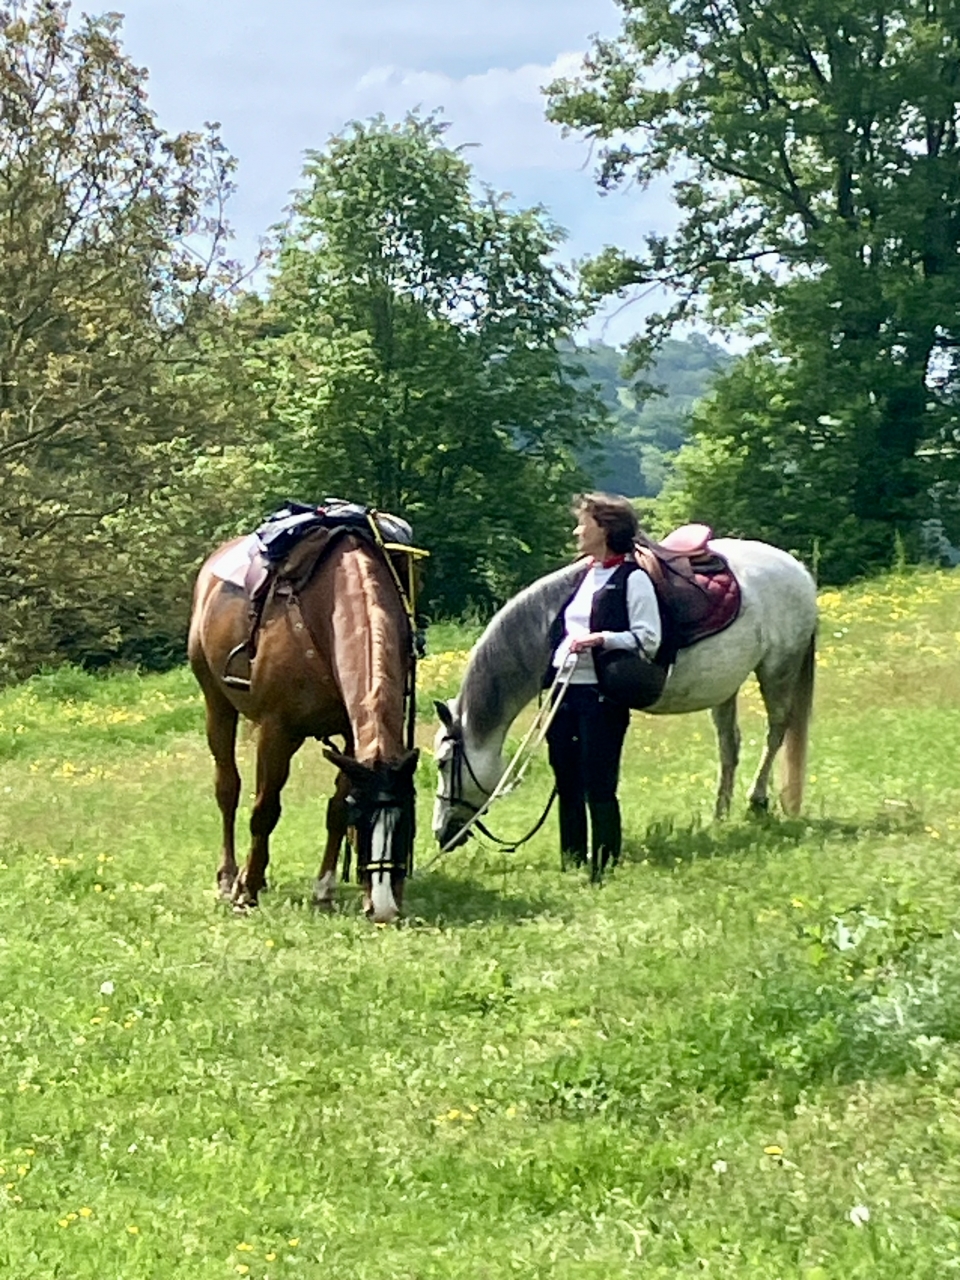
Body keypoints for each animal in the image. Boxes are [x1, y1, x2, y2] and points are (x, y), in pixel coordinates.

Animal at [188, 530, 418, 923]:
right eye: (363, 821)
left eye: (407, 824)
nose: (385, 907)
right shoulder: (277, 731)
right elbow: (265, 810)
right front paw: (246, 893)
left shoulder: (350, 739)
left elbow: (335, 809)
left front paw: (324, 889)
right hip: (217, 705)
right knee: (228, 789)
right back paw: (231, 877)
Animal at [432, 539, 816, 854]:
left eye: (442, 763)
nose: (440, 833)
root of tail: (799, 571)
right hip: (727, 685)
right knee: (730, 746)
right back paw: (720, 816)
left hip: (777, 670)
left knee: (776, 731)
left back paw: (757, 801)